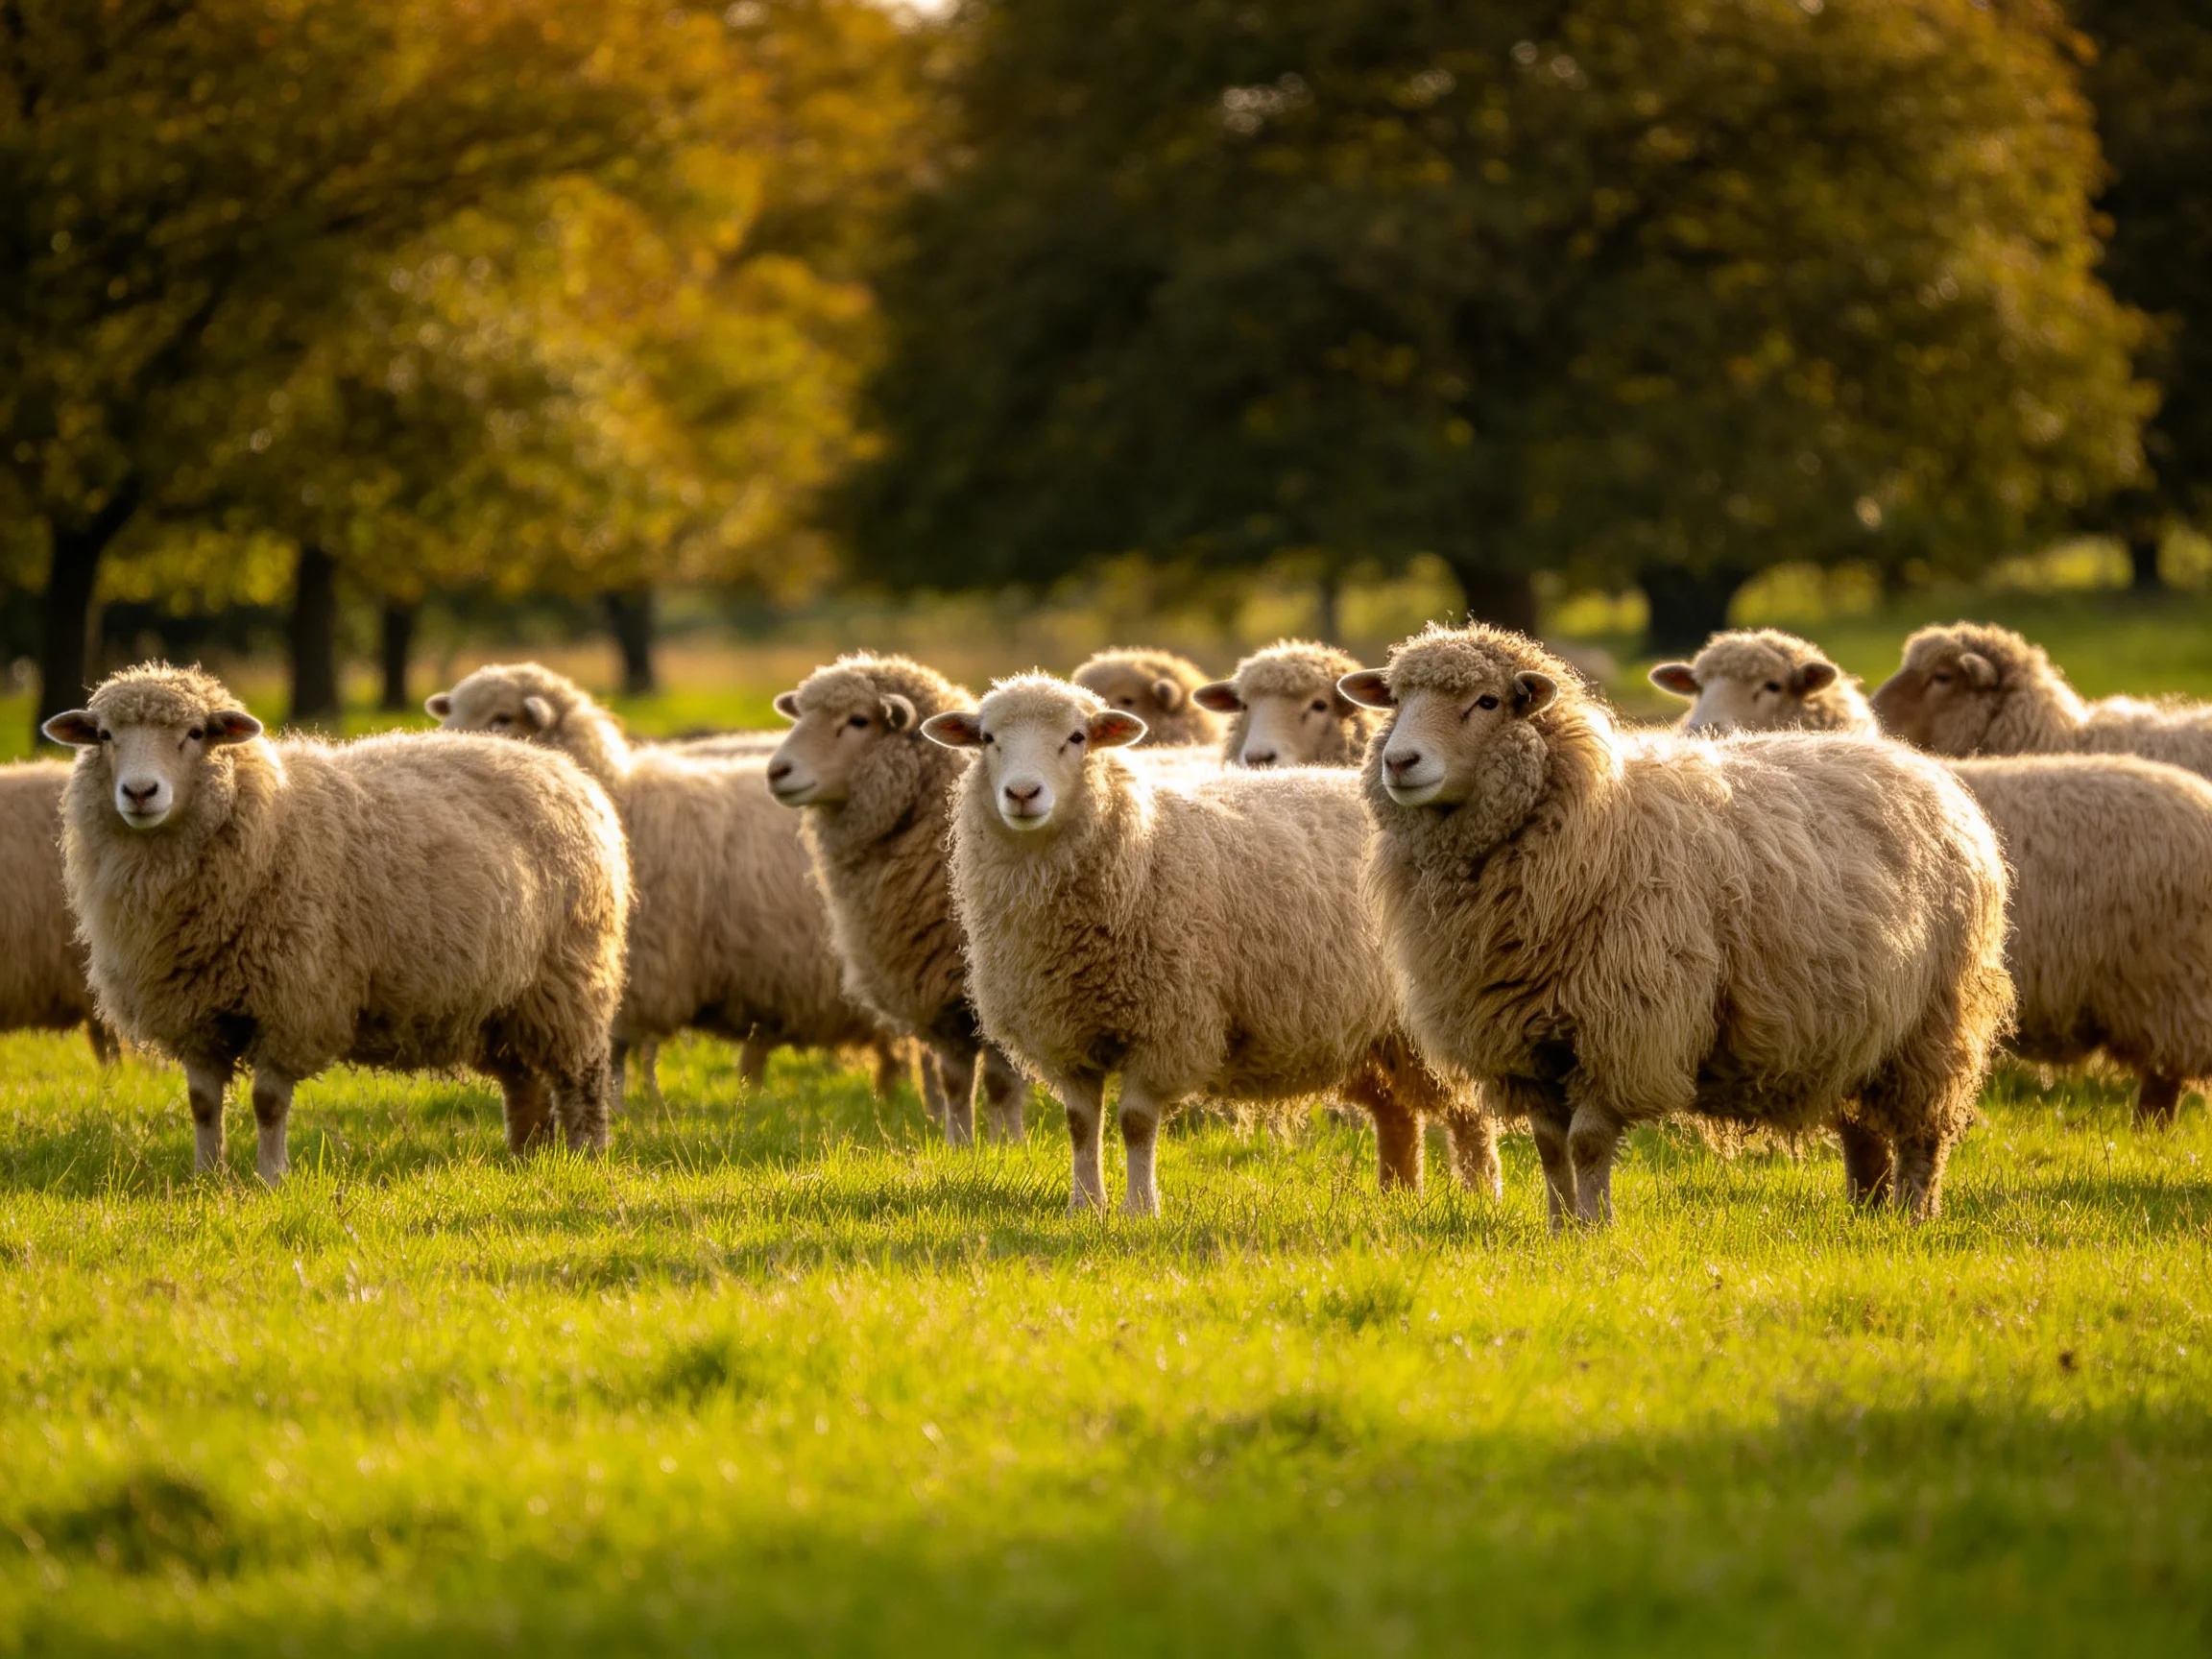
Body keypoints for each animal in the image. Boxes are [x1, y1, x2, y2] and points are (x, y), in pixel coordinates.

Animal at [44, 663, 628, 1181]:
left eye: (195, 733)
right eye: (104, 735)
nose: (140, 793)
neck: (265, 822)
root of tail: (561, 769)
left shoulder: (293, 1000)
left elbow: (268, 1101)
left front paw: (270, 1179)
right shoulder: (195, 1012)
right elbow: (203, 1103)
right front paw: (206, 1178)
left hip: (568, 984)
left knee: (582, 1079)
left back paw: (586, 1158)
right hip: (505, 1001)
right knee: (524, 1083)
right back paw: (527, 1159)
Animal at [426, 663, 903, 1108]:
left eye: (503, 717)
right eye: (453, 710)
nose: (445, 745)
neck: (620, 796)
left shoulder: (645, 969)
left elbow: (623, 1051)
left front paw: (624, 1106)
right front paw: (644, 1102)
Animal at [765, 654, 1031, 1145]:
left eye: (858, 720)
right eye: (801, 715)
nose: (776, 772)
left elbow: (1001, 1082)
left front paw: (1010, 1146)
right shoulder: (938, 989)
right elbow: (953, 1080)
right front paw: (959, 1147)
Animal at [920, 674, 1499, 1217]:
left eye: (1077, 737)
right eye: (987, 739)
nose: (1022, 794)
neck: (1142, 850)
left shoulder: (1167, 1025)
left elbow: (1135, 1123)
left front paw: (1140, 1210)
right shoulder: (1066, 1032)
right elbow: (1081, 1125)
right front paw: (1084, 1206)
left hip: (1426, 1015)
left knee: (1468, 1111)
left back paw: (1478, 1194)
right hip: (1369, 1031)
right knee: (1397, 1113)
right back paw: (1395, 1195)